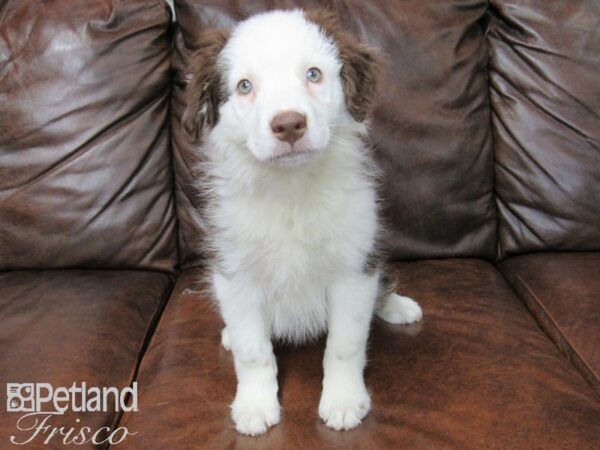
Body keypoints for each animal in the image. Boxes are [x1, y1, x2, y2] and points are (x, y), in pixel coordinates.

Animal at [183, 7, 422, 436]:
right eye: (245, 86)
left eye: (313, 74)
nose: (289, 124)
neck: (291, 190)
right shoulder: (235, 273)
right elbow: (253, 351)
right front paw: (255, 405)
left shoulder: (353, 267)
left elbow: (345, 345)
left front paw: (344, 401)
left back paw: (396, 306)